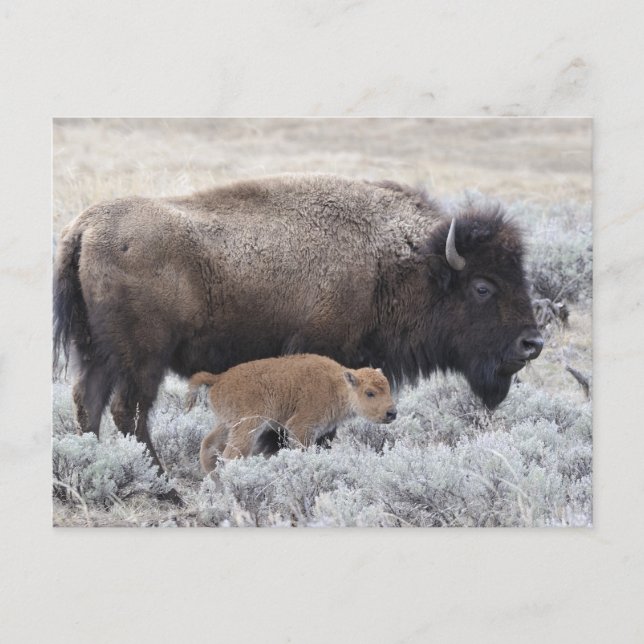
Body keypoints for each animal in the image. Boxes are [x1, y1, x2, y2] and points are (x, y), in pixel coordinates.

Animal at [187, 353, 397, 472]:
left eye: (388, 388)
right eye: (370, 393)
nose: (392, 413)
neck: (337, 386)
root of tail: (220, 378)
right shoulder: (301, 427)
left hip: (225, 425)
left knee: (208, 446)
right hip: (247, 426)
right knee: (231, 455)